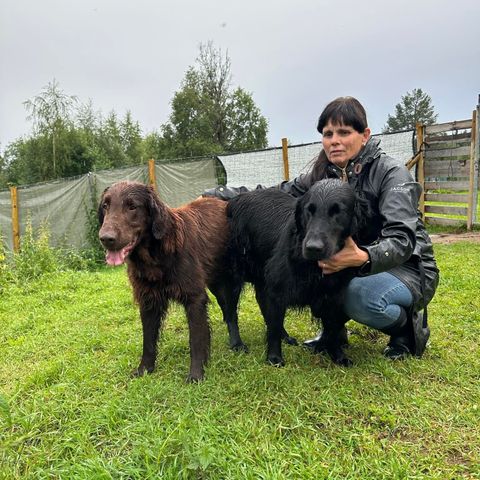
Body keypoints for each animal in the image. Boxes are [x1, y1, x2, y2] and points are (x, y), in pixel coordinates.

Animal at [99, 181, 246, 382]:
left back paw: (237, 344)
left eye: (132, 206)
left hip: (229, 283)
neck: (156, 258)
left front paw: (196, 375)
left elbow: (196, 339)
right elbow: (148, 340)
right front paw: (144, 369)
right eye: (105, 206)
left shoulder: (195, 298)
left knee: (231, 314)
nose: (105, 238)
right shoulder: (148, 301)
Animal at [227, 178, 370, 366]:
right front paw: (274, 358)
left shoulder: (335, 295)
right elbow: (273, 328)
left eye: (338, 211)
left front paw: (337, 355)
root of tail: (238, 198)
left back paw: (286, 337)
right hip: (234, 276)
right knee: (231, 313)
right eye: (309, 210)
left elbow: (333, 328)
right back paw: (237, 344)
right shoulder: (277, 291)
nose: (313, 248)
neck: (313, 267)